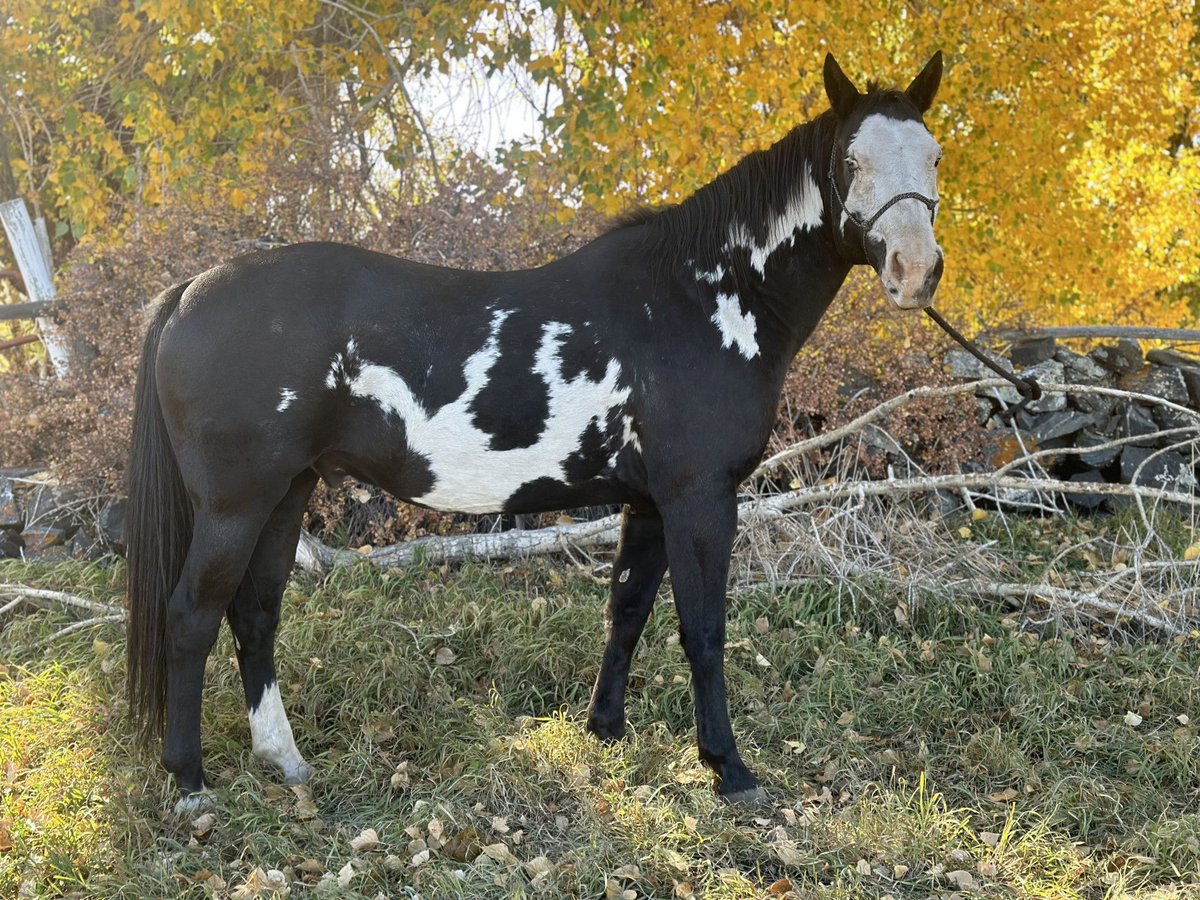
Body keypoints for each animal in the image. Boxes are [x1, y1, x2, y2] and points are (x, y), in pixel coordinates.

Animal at [124, 52, 945, 816]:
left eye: (935, 156)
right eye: (851, 161)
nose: (915, 272)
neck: (699, 297)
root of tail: (189, 292)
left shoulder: (649, 502)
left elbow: (627, 611)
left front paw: (604, 730)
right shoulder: (700, 499)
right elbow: (703, 632)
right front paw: (728, 769)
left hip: (287, 492)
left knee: (255, 613)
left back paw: (284, 760)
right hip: (235, 504)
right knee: (191, 615)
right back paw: (190, 783)